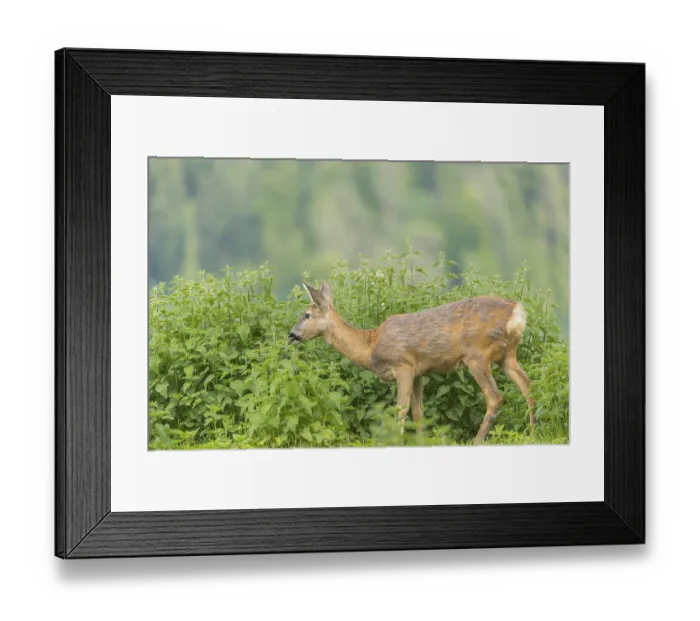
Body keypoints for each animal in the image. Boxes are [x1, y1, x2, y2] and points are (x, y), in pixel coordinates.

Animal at [288, 281, 535, 445]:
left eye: (307, 315)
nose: (291, 335)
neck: (370, 346)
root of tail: (518, 312)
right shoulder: (420, 373)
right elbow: (418, 413)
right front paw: (421, 441)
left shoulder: (403, 365)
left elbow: (401, 409)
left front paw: (397, 440)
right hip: (507, 355)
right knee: (527, 385)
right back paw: (534, 428)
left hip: (477, 355)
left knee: (495, 397)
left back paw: (477, 441)